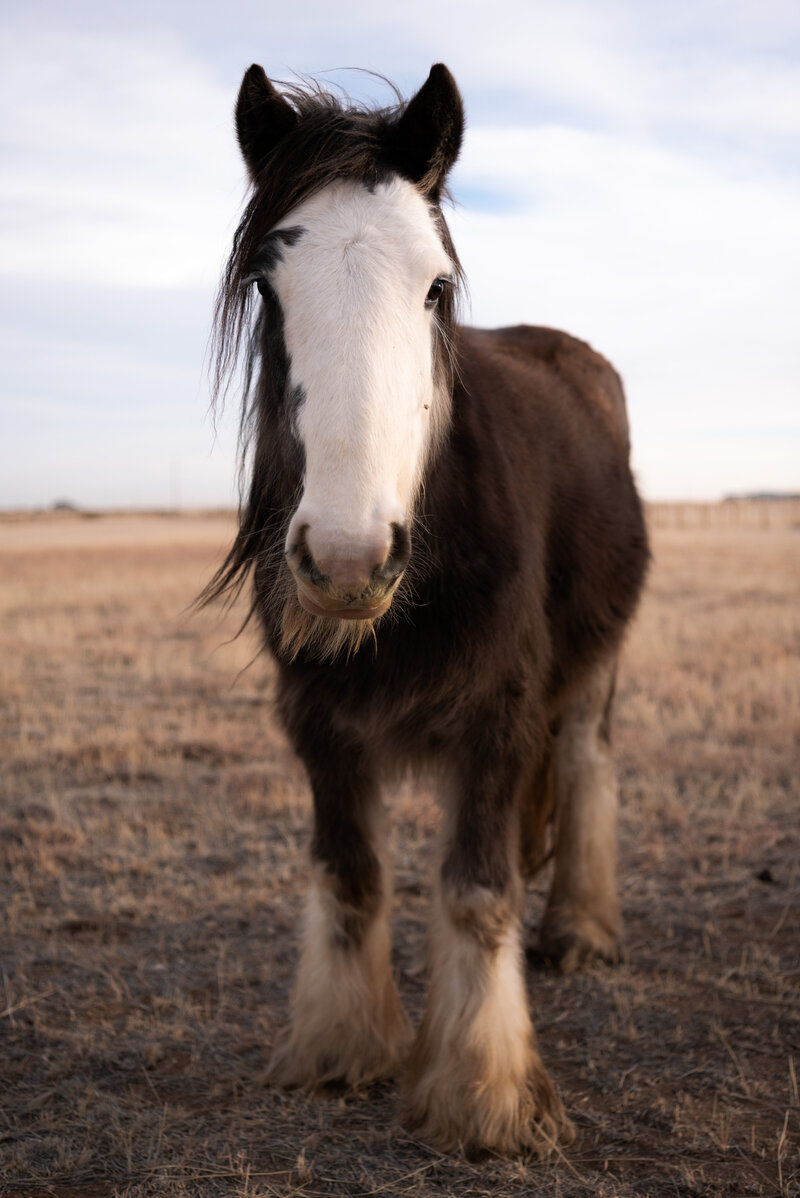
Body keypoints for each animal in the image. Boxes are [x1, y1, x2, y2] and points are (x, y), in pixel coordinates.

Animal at [205, 60, 651, 1154]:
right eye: (269, 287)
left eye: (435, 287)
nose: (348, 557)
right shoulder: (316, 720)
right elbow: (350, 873)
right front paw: (341, 1047)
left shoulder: (499, 718)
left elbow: (476, 889)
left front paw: (482, 1093)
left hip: (593, 665)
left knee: (586, 763)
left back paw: (581, 931)